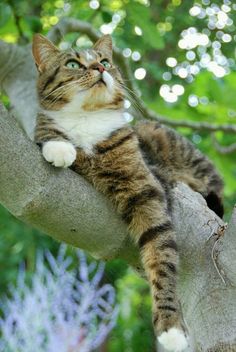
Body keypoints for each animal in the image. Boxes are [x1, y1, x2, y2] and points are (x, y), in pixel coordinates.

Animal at [32, 33, 224, 352]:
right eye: (73, 64)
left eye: (104, 60)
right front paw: (59, 146)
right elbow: (47, 134)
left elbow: (161, 257)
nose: (100, 68)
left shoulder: (147, 189)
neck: (88, 118)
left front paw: (171, 327)